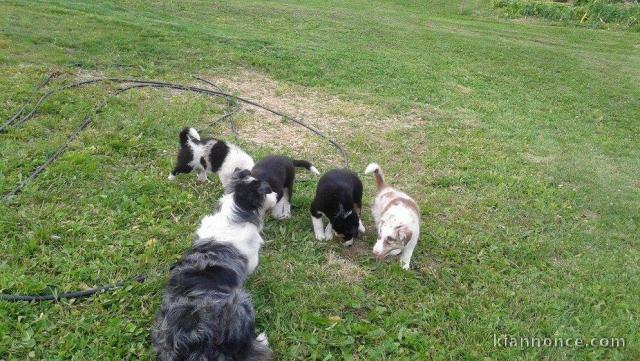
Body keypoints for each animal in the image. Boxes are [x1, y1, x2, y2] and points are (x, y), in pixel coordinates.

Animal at [155, 169, 278, 360]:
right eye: (267, 192)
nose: (278, 195)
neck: (234, 214)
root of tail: (196, 340)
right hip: (241, 302)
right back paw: (261, 340)